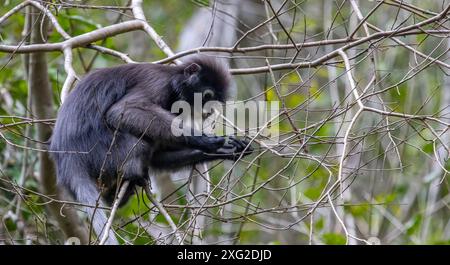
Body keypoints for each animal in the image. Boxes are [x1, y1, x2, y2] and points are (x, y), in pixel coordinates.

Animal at [50, 55, 253, 243]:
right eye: (207, 96)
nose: (209, 111)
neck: (173, 81)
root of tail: (68, 158)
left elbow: (157, 156)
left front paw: (224, 150)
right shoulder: (158, 84)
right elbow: (123, 110)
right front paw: (207, 141)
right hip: (105, 150)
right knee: (138, 138)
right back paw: (132, 173)